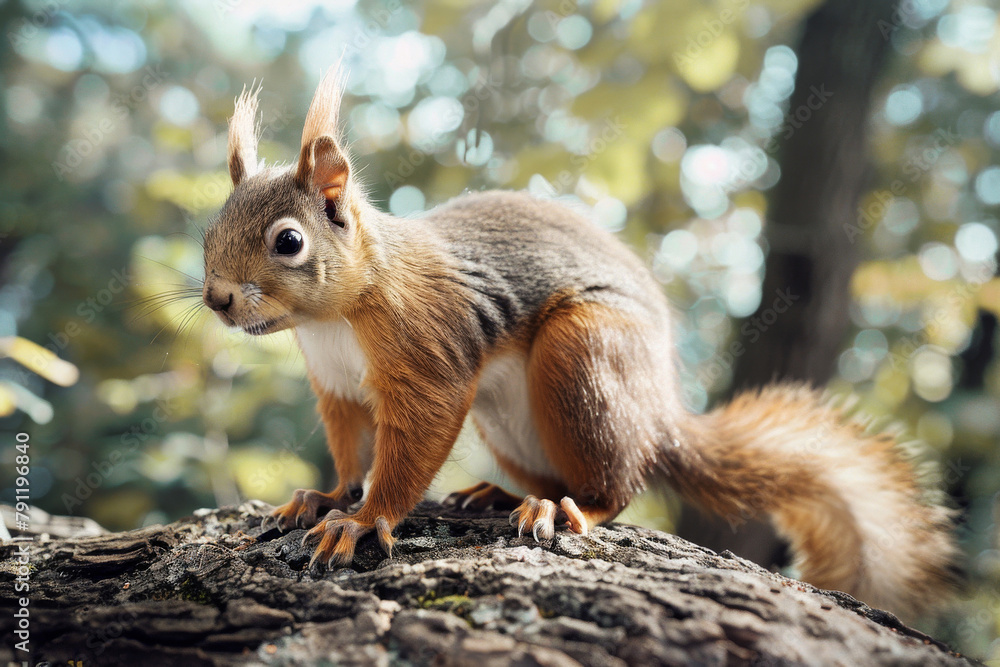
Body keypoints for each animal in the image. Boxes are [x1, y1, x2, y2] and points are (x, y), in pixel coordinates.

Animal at [200, 70, 956, 617]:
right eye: (210, 230)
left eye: (289, 241)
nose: (217, 299)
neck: (334, 318)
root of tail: (659, 418)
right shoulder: (337, 386)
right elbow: (351, 451)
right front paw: (325, 498)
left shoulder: (430, 348)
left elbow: (412, 442)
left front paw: (362, 521)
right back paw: (503, 494)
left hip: (585, 353)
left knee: (612, 487)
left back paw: (565, 508)